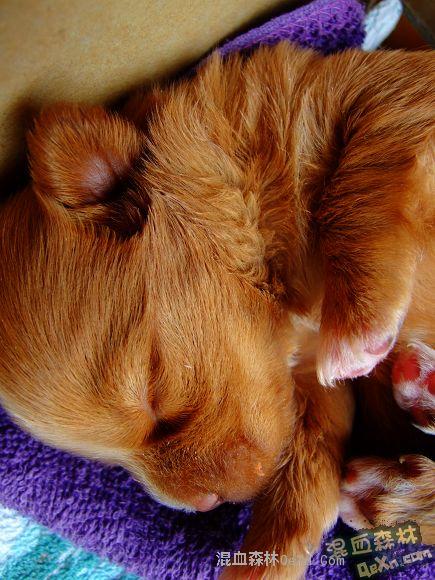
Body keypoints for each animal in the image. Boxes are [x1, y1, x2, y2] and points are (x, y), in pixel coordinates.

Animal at [0, 44, 433, 577]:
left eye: (155, 394)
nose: (206, 505)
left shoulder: (379, 95)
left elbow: (361, 172)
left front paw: (357, 327)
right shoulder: (310, 397)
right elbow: (301, 489)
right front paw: (257, 564)